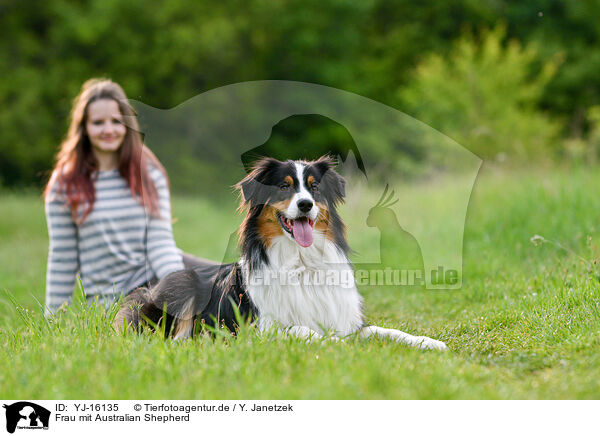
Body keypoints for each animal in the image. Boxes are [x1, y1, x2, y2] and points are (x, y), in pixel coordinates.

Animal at [115, 155, 448, 350]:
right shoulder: (259, 328)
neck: (301, 263)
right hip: (182, 284)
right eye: (284, 187)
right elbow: (302, 330)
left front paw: (427, 342)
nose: (305, 205)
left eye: (314, 188)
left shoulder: (346, 320)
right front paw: (333, 344)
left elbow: (385, 330)